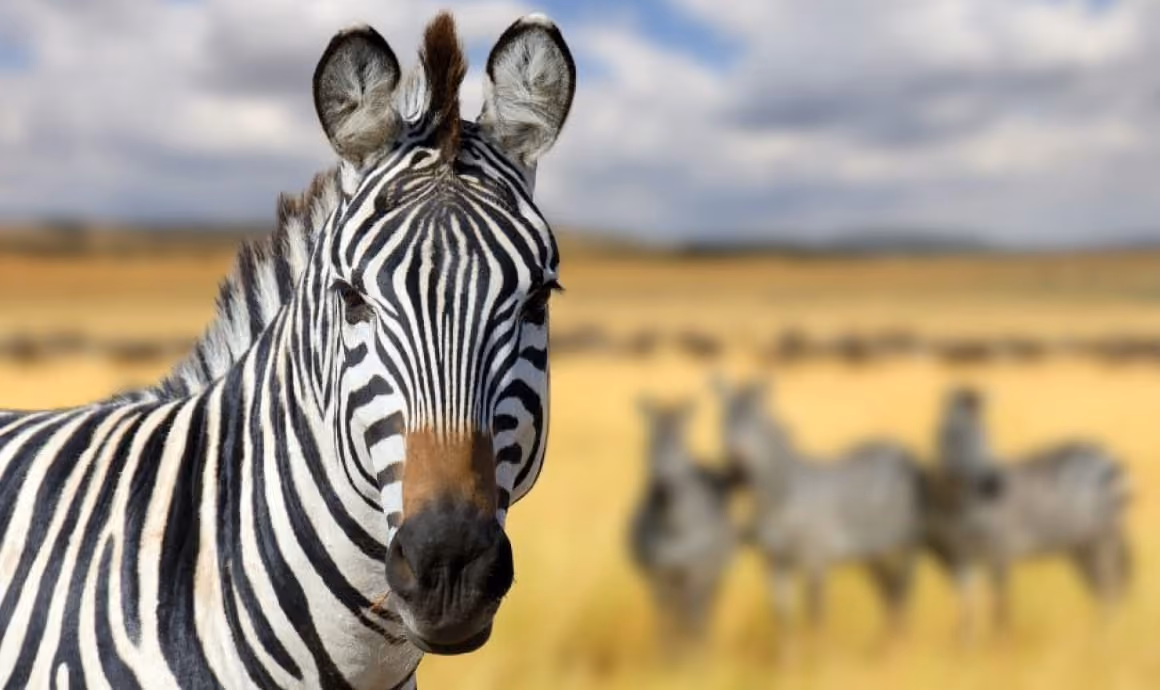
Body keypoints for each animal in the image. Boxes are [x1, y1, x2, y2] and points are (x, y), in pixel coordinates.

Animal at [629, 399, 738, 648]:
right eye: (647, 444)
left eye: (680, 445)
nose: (660, 488)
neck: (672, 528)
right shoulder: (660, 576)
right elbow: (665, 619)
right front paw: (666, 651)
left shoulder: (695, 573)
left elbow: (692, 616)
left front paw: (692, 652)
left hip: (714, 574)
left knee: (703, 609)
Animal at [713, 378, 922, 635]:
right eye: (723, 419)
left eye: (755, 421)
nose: (734, 465)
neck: (783, 495)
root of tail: (902, 449)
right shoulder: (776, 564)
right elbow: (785, 624)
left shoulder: (815, 560)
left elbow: (815, 622)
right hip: (873, 550)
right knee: (892, 594)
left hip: (906, 542)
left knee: (904, 589)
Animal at [924, 387, 1132, 635]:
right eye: (953, 435)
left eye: (986, 434)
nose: (994, 484)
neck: (960, 505)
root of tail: (1107, 453)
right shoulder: (961, 558)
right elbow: (966, 612)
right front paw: (965, 641)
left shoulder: (1000, 551)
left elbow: (1000, 609)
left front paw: (1000, 641)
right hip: (1081, 544)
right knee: (1104, 589)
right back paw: (1100, 634)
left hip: (1103, 537)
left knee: (1111, 587)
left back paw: (1107, 635)